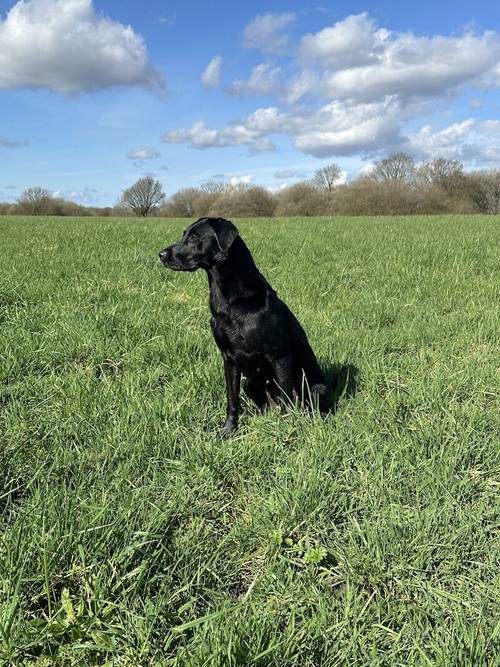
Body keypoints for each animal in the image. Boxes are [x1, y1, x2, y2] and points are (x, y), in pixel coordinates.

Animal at [158, 218, 326, 434]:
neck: (231, 302)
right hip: (251, 384)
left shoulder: (280, 355)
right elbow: (232, 399)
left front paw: (285, 429)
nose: (161, 254)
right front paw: (228, 429)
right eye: (184, 234)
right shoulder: (228, 359)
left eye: (194, 237)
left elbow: (286, 398)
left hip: (314, 388)